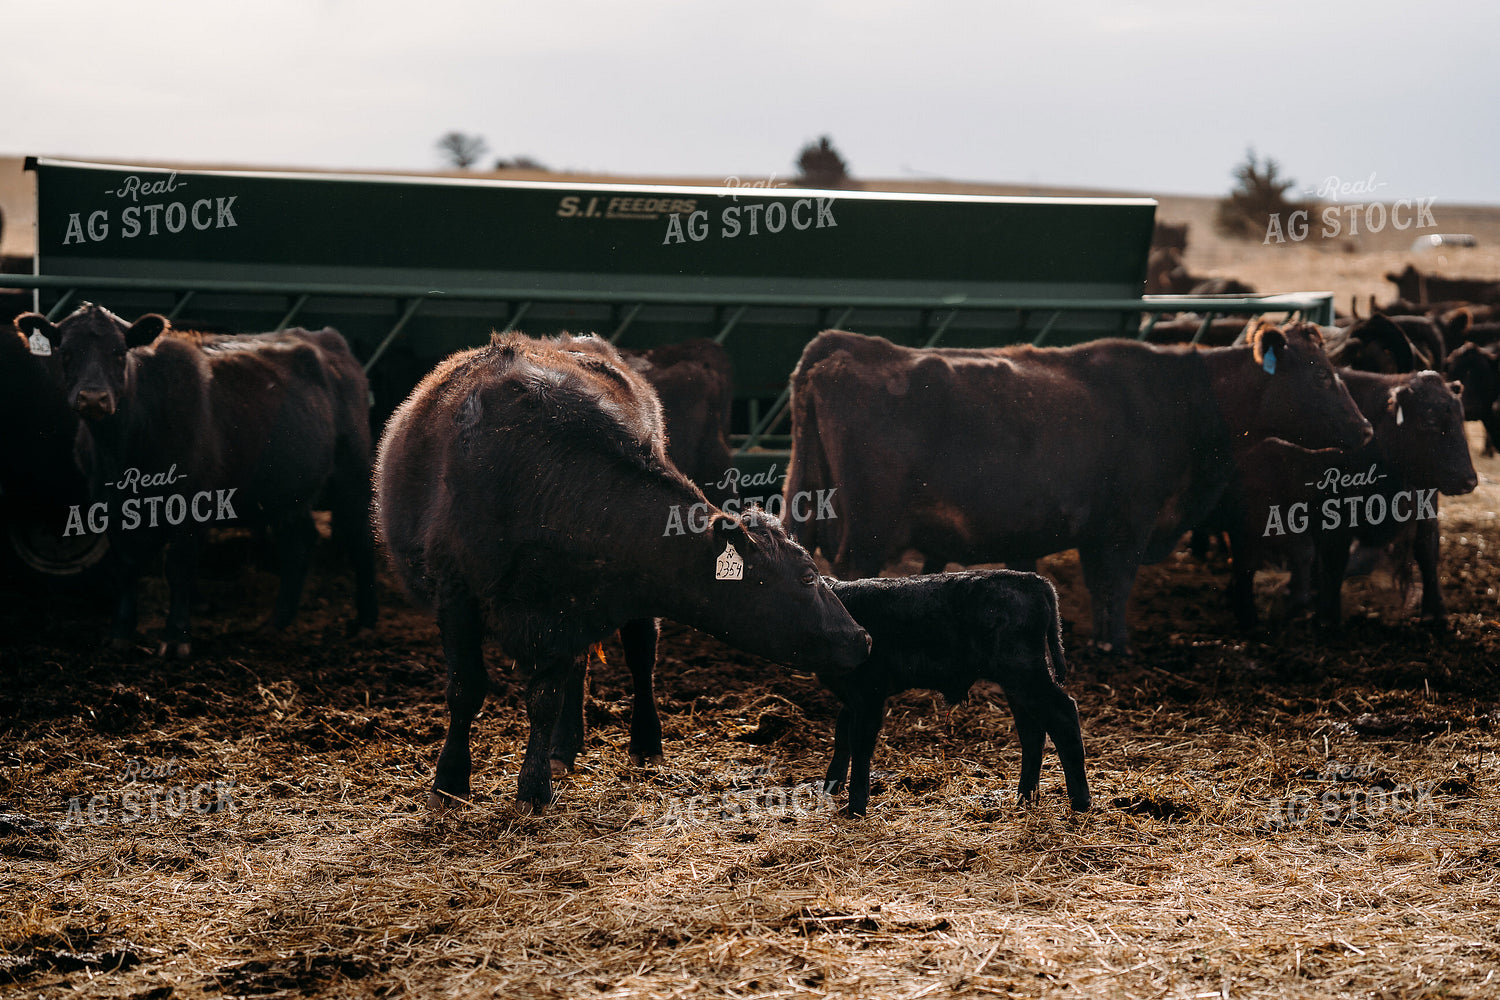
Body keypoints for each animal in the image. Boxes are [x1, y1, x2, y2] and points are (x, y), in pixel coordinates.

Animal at [14, 305, 378, 655]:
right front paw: (120, 633)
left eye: (118, 352)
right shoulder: (107, 501)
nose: (93, 398)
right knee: (299, 543)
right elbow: (126, 566)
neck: (126, 445)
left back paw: (365, 624)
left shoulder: (192, 501)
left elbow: (179, 567)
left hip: (353, 472)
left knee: (360, 540)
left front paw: (176, 638)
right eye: (65, 352)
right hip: (286, 488)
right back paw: (275, 623)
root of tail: (325, 337)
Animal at [784, 322, 1372, 653]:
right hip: (869, 528)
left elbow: (1100, 585)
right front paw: (1117, 645)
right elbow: (1116, 583)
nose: (1366, 428)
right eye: (1324, 376)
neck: (1186, 399)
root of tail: (845, 346)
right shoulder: (1128, 524)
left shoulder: (1098, 531)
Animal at [818, 570, 1088, 817]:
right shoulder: (852, 697)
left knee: (1063, 716)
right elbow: (842, 735)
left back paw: (1080, 802)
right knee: (1032, 732)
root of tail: (1034, 580)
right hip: (1018, 684)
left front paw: (855, 806)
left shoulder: (869, 694)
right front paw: (831, 786)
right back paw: (1025, 798)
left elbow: (860, 744)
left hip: (1025, 674)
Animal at [1215, 370, 1476, 628]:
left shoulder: (1426, 509)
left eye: (1460, 418)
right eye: (1429, 421)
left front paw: (1436, 612)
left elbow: (1427, 552)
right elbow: (1329, 559)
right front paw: (1325, 617)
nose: (1469, 480)